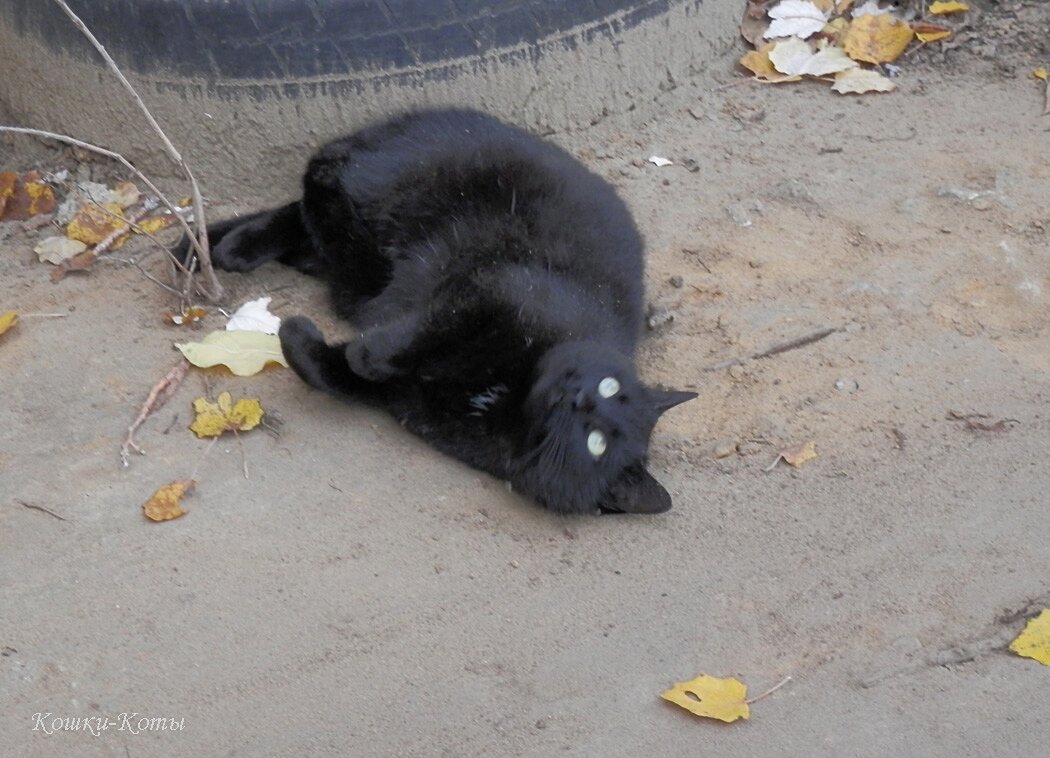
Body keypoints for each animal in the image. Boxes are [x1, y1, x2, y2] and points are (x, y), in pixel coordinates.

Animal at [186, 107, 697, 514]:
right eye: (610, 387)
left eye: (597, 444)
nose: (581, 398)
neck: (507, 390)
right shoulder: (497, 287)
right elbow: (422, 329)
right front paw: (367, 351)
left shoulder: (407, 400)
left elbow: (332, 374)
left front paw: (303, 338)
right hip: (397, 185)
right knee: (322, 178)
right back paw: (233, 244)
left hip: (345, 258)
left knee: (314, 231)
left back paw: (225, 249)